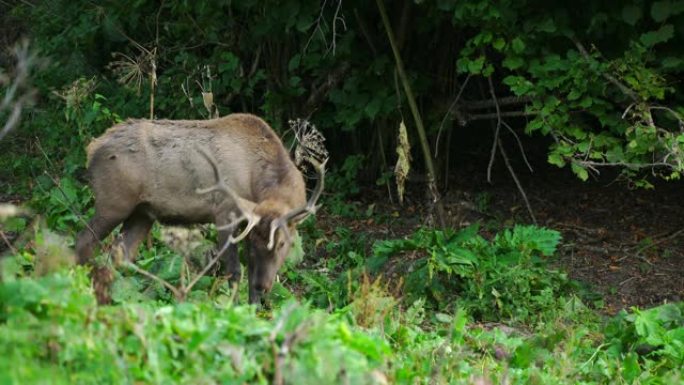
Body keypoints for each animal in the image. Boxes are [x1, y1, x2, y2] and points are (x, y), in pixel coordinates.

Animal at [75, 112, 326, 304]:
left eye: (283, 243)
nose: (263, 285)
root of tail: (91, 148)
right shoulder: (225, 214)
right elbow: (234, 271)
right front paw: (232, 307)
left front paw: (254, 310)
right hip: (113, 204)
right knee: (84, 242)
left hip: (142, 213)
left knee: (120, 254)